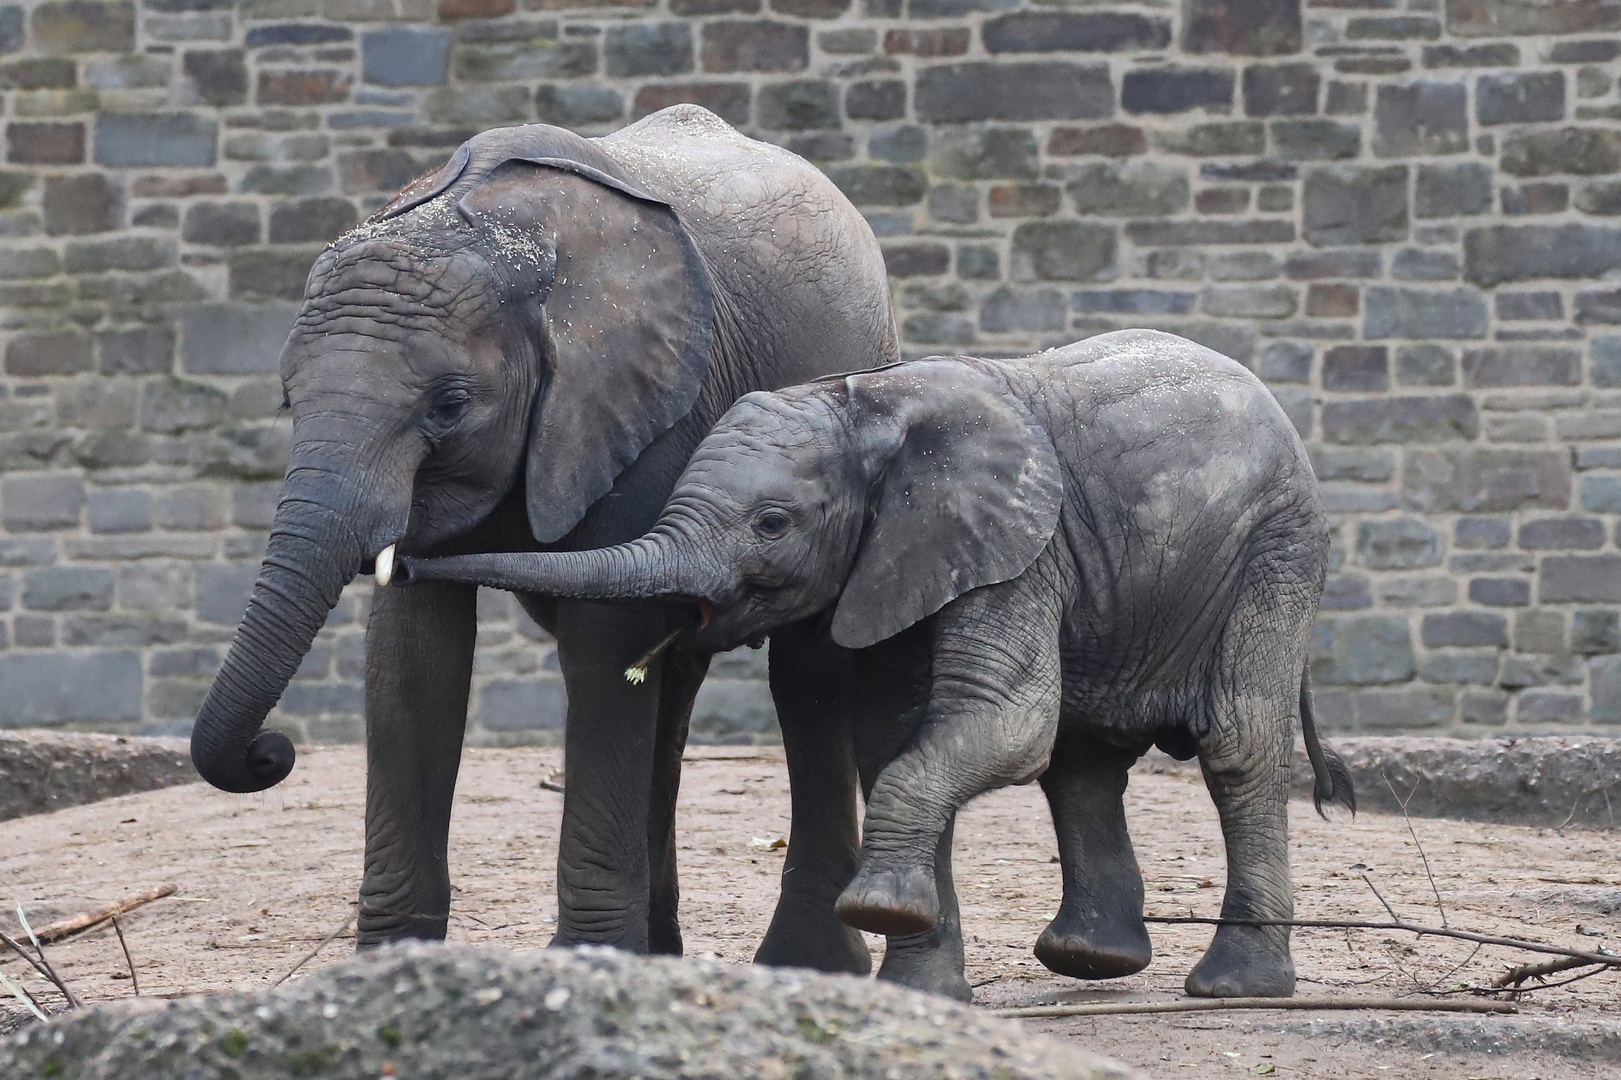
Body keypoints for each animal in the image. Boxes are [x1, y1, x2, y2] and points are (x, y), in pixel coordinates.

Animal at [192, 107, 901, 966]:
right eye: (288, 399)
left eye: (449, 404)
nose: (271, 752)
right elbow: (413, 655)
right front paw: (394, 966)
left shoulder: (643, 404)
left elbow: (601, 643)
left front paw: (586, 961)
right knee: (671, 689)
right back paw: (662, 953)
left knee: (806, 676)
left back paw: (801, 964)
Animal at [402, 330, 1355, 998]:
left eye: (773, 524)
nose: (400, 559)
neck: (868, 405)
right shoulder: (903, 559)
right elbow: (895, 741)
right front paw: (922, 988)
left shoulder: (1016, 551)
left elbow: (995, 725)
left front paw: (876, 913)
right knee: (1081, 758)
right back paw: (1089, 960)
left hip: (1276, 553)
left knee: (1233, 745)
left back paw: (1233, 985)